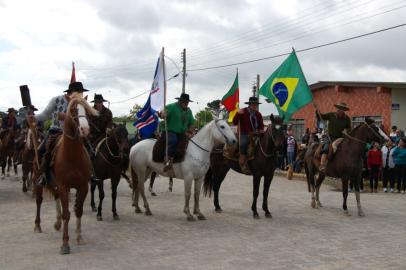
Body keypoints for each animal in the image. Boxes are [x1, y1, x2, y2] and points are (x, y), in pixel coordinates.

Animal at [32, 95, 97, 255]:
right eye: (73, 110)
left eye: (87, 110)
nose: (85, 129)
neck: (72, 155)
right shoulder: (64, 186)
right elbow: (67, 214)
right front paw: (65, 244)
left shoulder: (82, 186)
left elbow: (78, 210)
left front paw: (79, 237)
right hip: (38, 180)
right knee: (39, 201)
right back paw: (37, 225)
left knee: (56, 198)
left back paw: (57, 223)